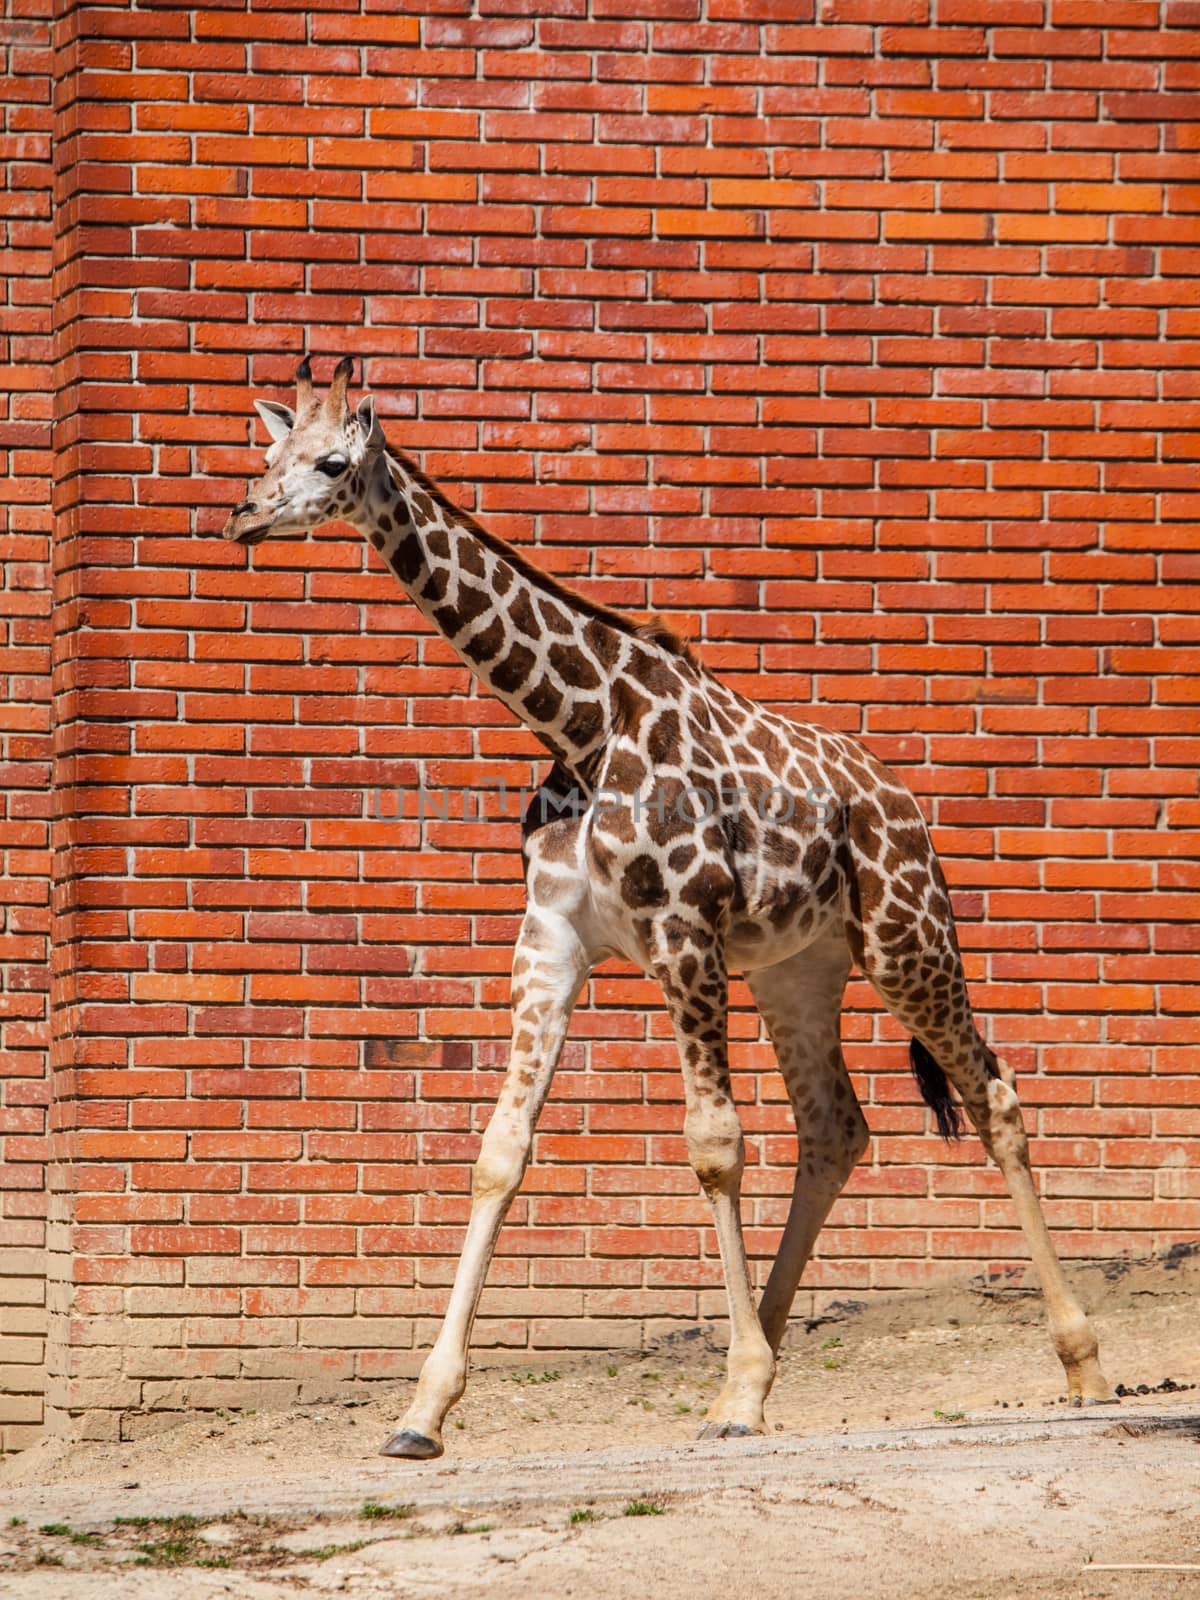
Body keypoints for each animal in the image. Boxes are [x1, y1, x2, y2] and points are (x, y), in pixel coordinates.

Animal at [219, 360, 1120, 1465]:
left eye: (333, 462)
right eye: (270, 452)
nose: (243, 515)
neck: (581, 725)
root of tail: (900, 800)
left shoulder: (684, 932)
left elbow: (713, 1145)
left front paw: (734, 1390)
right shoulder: (549, 940)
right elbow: (499, 1153)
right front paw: (423, 1413)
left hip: (907, 937)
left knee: (992, 1093)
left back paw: (1079, 1362)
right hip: (798, 968)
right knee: (837, 1126)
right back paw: (768, 1355)